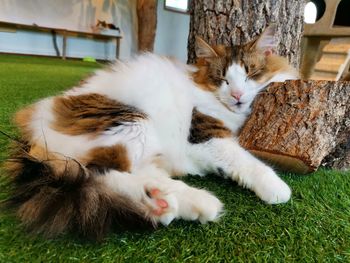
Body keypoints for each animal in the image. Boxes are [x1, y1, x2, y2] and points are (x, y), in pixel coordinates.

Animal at [4, 24, 298, 239]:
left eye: (250, 74)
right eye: (222, 79)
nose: (237, 95)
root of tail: (32, 129)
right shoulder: (205, 135)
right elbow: (247, 161)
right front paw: (277, 188)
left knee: (137, 176)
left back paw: (169, 204)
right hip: (131, 121)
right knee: (99, 174)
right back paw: (178, 202)